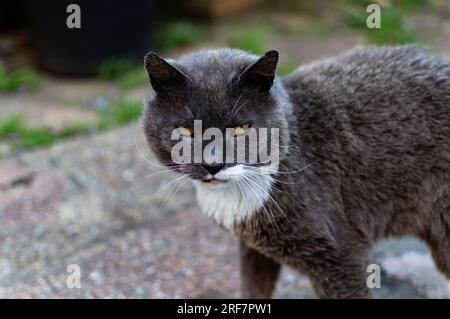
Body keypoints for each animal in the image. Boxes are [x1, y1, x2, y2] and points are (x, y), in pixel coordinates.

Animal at [142, 47, 450, 300]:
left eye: (241, 128)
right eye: (186, 130)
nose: (213, 163)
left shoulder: (342, 255)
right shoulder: (253, 249)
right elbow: (253, 288)